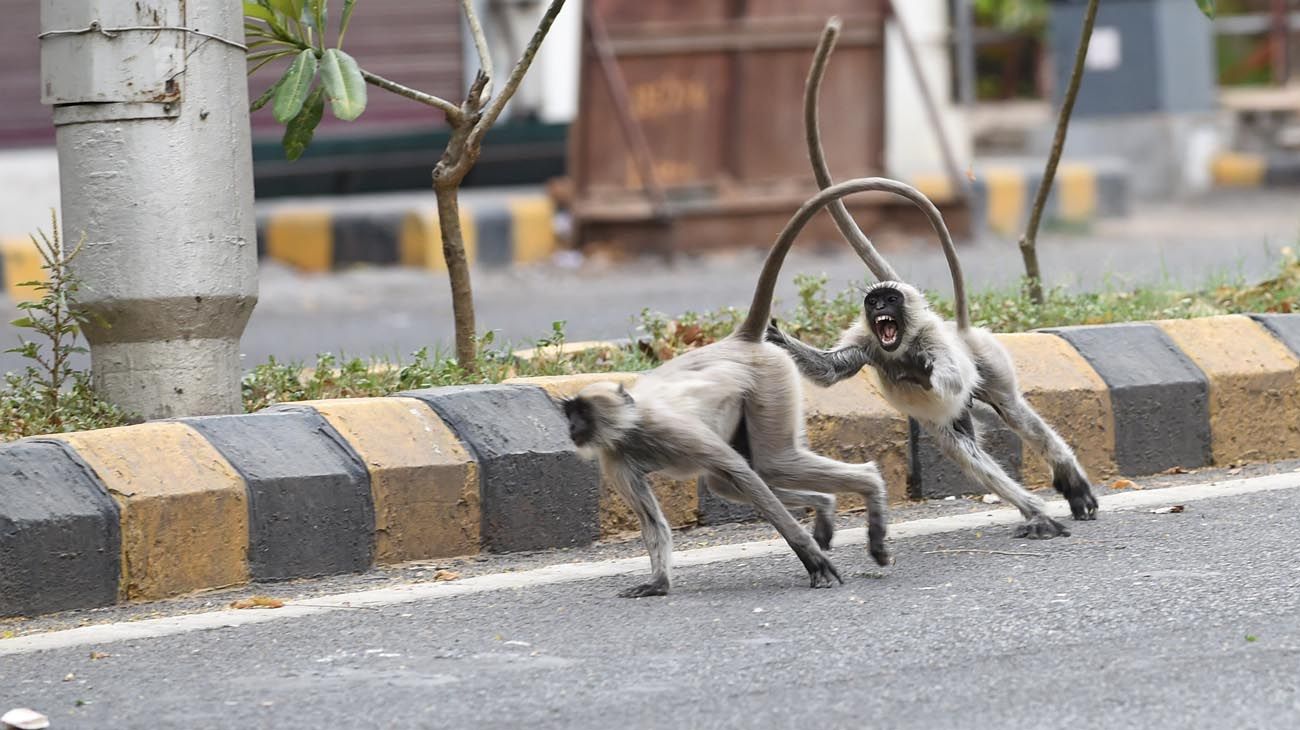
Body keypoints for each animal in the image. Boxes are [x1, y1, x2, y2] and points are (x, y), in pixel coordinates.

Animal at [559, 177, 956, 597]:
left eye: (581, 415)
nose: (572, 429)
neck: (633, 424)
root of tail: (738, 340)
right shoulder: (615, 457)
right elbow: (656, 520)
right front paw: (657, 583)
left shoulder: (671, 430)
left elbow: (743, 473)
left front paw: (812, 559)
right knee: (730, 480)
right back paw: (825, 505)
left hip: (769, 382)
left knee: (767, 465)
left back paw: (866, 490)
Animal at [764, 18, 1102, 540]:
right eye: (874, 303)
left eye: (889, 301)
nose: (881, 306)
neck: (900, 344)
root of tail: (960, 327)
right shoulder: (868, 343)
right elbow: (830, 371)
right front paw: (776, 337)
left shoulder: (932, 343)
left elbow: (946, 377)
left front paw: (921, 373)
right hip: (954, 414)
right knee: (961, 446)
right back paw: (1035, 509)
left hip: (983, 357)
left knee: (1014, 412)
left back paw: (1069, 482)